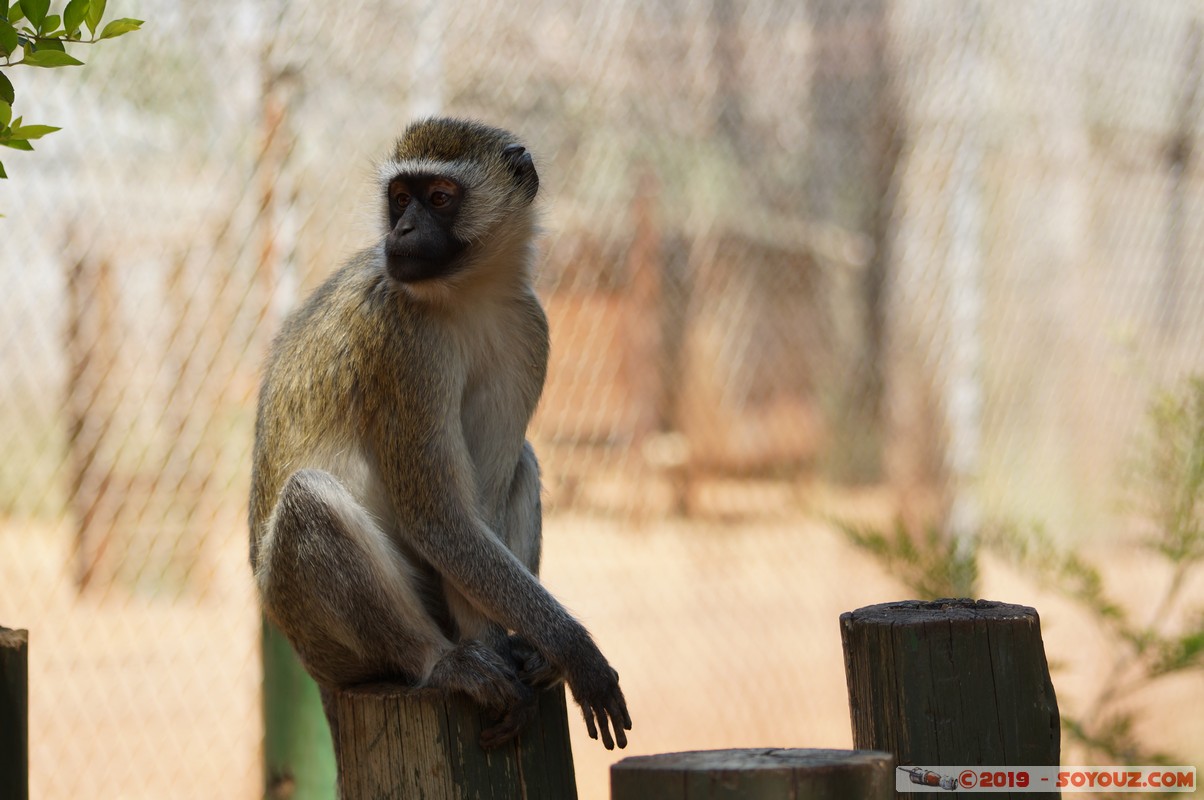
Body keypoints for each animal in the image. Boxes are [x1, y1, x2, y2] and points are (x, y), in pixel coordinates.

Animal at [250, 118, 635, 751]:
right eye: (399, 198)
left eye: (438, 197)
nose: (402, 229)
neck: (468, 294)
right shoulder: (405, 341)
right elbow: (440, 517)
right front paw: (575, 649)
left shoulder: (528, 329)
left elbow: (478, 503)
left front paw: (534, 648)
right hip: (318, 635)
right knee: (311, 500)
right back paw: (440, 661)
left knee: (523, 463)